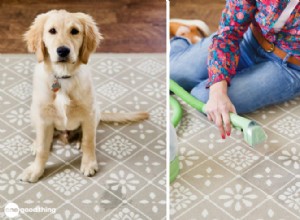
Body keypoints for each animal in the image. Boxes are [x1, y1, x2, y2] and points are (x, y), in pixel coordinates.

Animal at [19, 9, 149, 182]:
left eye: (75, 31)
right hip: (34, 113)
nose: (63, 50)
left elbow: (89, 141)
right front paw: (35, 170)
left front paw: (89, 164)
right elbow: (42, 148)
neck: (63, 77)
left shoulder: (88, 114)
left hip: (95, 113)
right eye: (52, 31)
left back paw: (79, 141)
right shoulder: (44, 117)